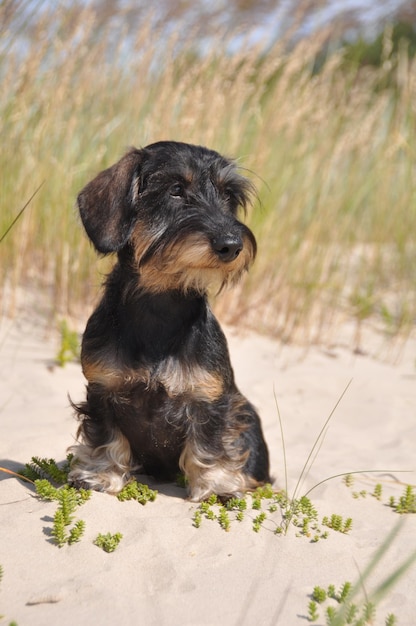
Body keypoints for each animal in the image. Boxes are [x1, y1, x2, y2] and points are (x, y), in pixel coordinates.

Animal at [68, 139, 270, 500]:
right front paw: (102, 475)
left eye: (228, 195)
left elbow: (209, 444)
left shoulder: (211, 398)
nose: (232, 245)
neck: (161, 304)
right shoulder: (102, 391)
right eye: (176, 190)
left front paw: (217, 484)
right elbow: (107, 438)